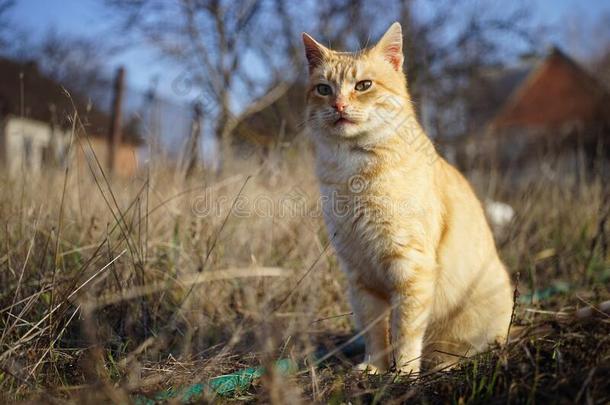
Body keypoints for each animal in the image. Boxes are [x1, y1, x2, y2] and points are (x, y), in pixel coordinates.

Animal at [302, 22, 510, 372]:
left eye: (364, 85)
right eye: (324, 89)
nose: (338, 106)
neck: (351, 169)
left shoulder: (410, 266)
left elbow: (406, 330)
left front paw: (403, 372)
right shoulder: (359, 275)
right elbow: (375, 332)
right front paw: (374, 368)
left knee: (464, 348)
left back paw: (443, 363)